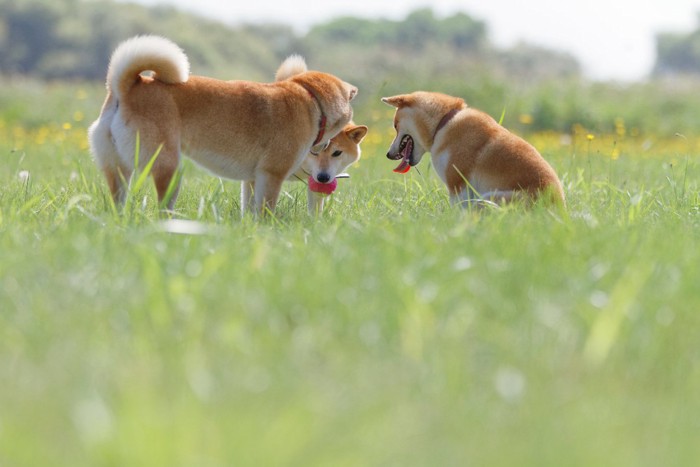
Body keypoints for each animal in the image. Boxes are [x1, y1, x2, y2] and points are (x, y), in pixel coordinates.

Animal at [88, 35, 358, 215]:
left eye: (336, 152)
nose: (323, 177)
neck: (311, 100)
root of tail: (125, 87)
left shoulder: (252, 179)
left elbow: (250, 211)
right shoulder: (272, 174)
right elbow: (266, 210)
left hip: (118, 168)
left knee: (118, 200)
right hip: (169, 166)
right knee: (163, 206)